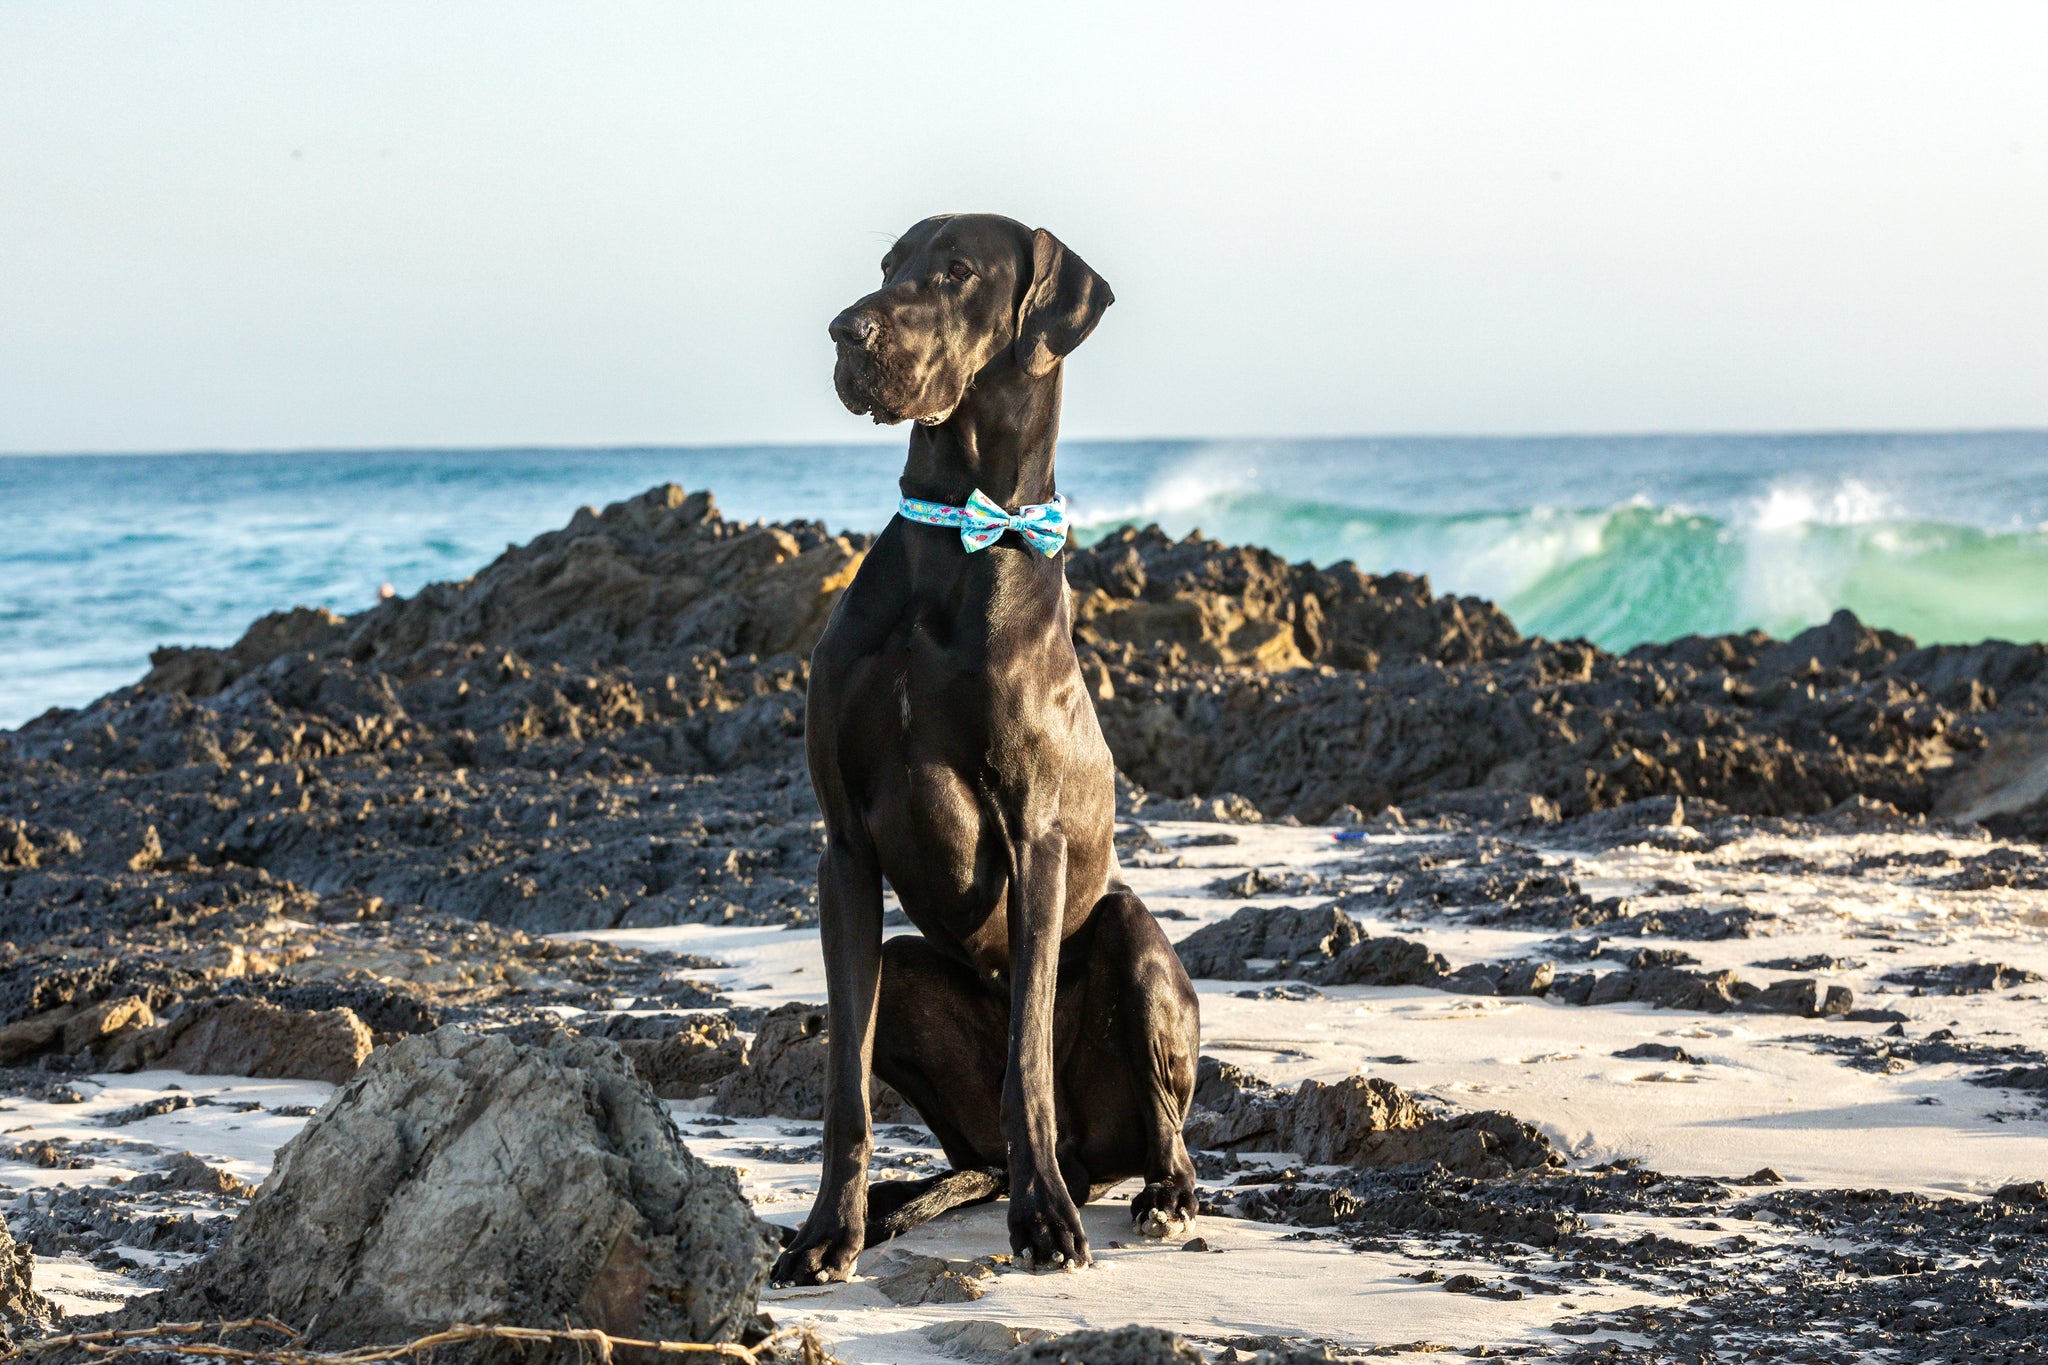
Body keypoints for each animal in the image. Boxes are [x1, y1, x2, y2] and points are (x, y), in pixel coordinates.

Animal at [774, 215, 1204, 1293]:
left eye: (958, 271)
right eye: (888, 266)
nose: (845, 330)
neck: (954, 544)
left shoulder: (1034, 836)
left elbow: (1026, 1062)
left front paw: (1043, 1223)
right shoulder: (843, 849)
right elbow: (844, 1090)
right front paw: (826, 1232)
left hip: (1133, 941)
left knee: (1156, 1119)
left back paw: (1154, 1192)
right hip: (907, 974)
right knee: (975, 1146)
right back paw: (916, 1200)